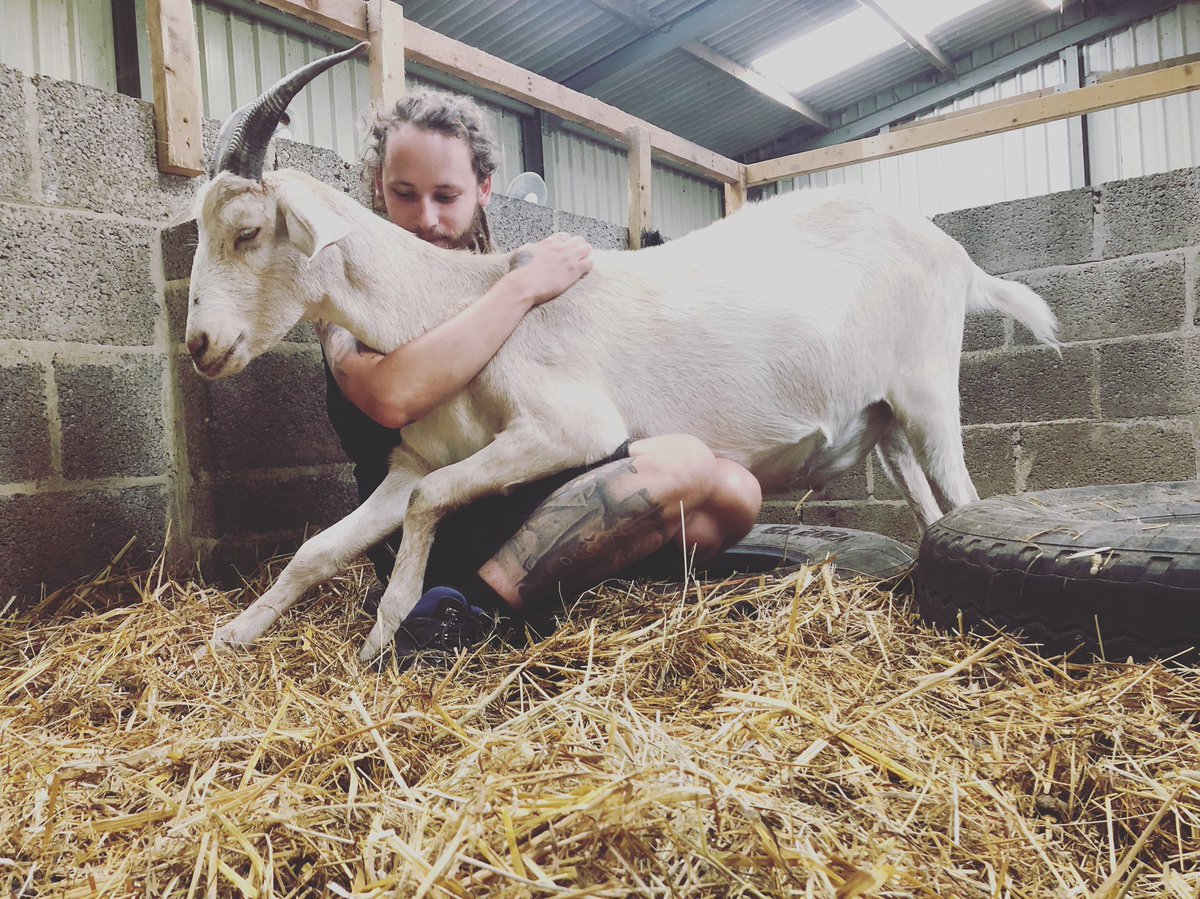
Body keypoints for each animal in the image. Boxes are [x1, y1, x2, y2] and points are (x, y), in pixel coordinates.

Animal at [185, 44, 1057, 663]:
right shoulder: (411, 458)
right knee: (929, 504)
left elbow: (433, 501)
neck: (456, 305)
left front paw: (387, 629)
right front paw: (235, 633)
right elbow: (323, 545)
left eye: (249, 231)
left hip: (928, 390)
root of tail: (959, 258)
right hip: (884, 417)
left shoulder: (567, 428)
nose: (199, 344)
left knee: (965, 497)